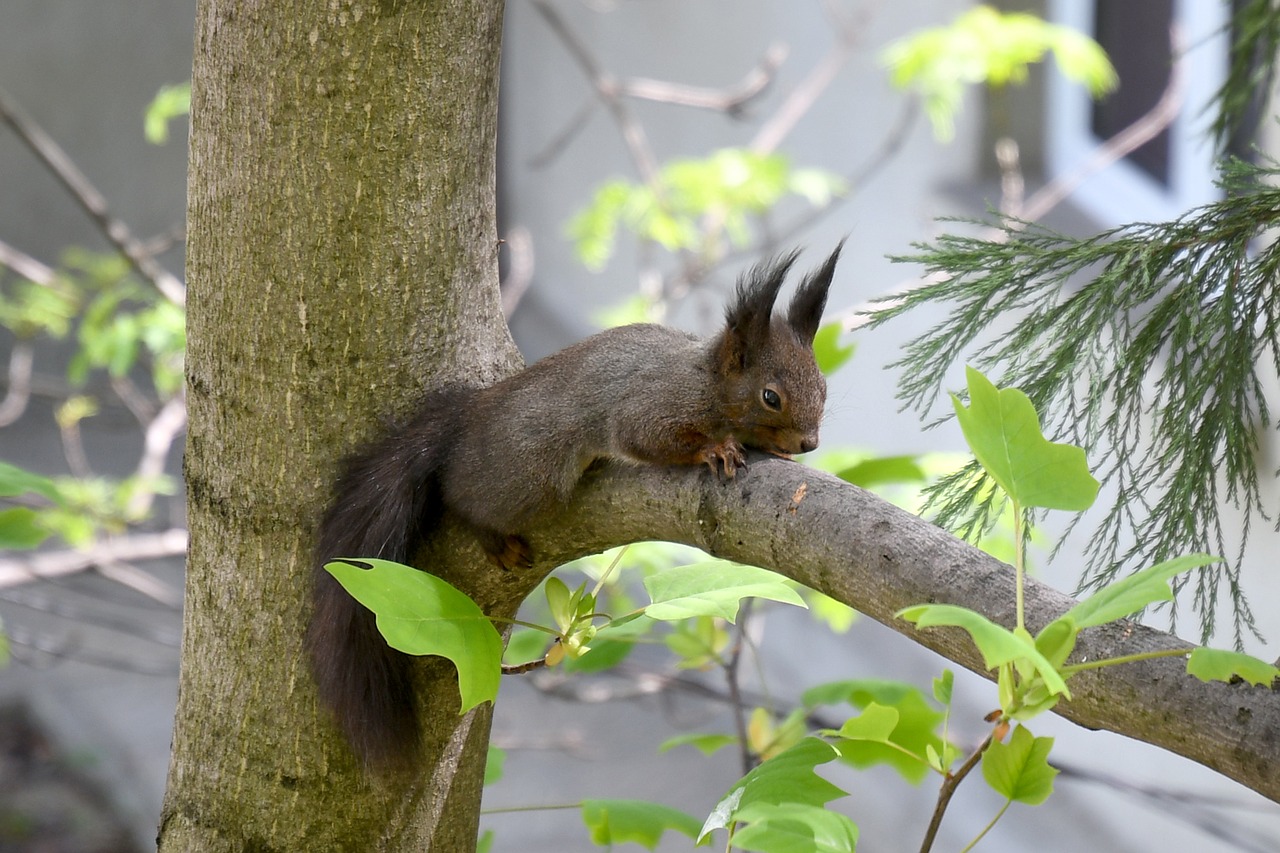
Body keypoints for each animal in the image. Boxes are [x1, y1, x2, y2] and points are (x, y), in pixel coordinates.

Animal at [305, 242, 844, 768]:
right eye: (771, 396)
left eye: (822, 386)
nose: (810, 443)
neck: (706, 380)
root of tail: (466, 421)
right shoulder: (654, 404)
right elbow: (645, 437)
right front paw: (714, 449)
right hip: (526, 478)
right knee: (461, 495)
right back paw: (488, 533)